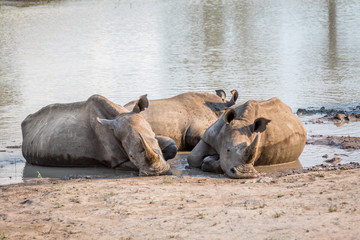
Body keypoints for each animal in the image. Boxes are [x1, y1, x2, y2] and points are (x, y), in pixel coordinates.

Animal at [21, 94, 176, 175]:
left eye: (155, 143)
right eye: (131, 156)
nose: (158, 172)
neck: (118, 115)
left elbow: (172, 145)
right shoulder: (118, 161)